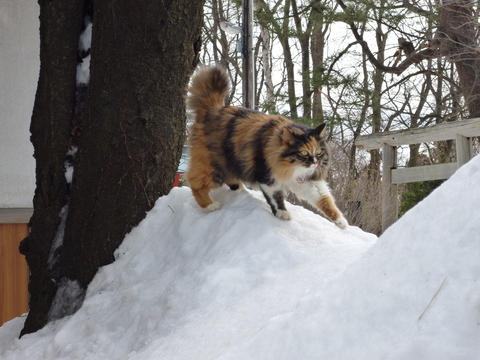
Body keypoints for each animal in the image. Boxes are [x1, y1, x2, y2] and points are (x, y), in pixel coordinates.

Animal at [186, 66, 346, 229]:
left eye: (319, 151)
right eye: (303, 152)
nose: (315, 162)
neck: (292, 167)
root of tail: (212, 110)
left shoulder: (307, 181)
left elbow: (325, 200)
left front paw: (341, 221)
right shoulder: (267, 176)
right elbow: (276, 197)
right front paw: (282, 213)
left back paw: (241, 190)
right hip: (213, 166)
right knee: (195, 184)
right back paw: (210, 205)